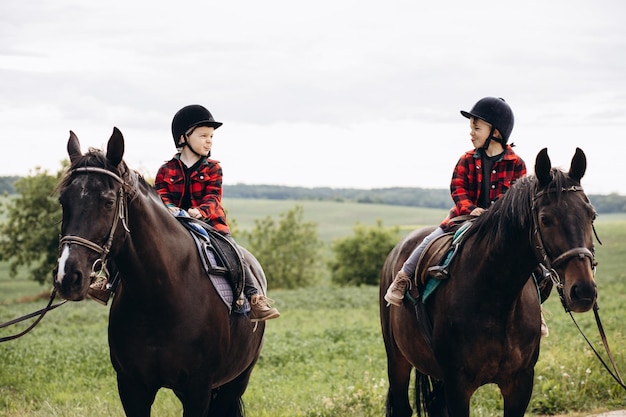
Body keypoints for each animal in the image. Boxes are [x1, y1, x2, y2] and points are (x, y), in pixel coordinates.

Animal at [50, 127, 262, 416]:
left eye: (108, 202)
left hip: (236, 381)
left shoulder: (198, 389)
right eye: (64, 201)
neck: (158, 296)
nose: (67, 277)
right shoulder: (132, 388)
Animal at [378, 148, 596, 414]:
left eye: (592, 215)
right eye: (545, 219)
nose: (583, 291)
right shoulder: (457, 385)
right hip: (397, 359)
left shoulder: (520, 383)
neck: (497, 299)